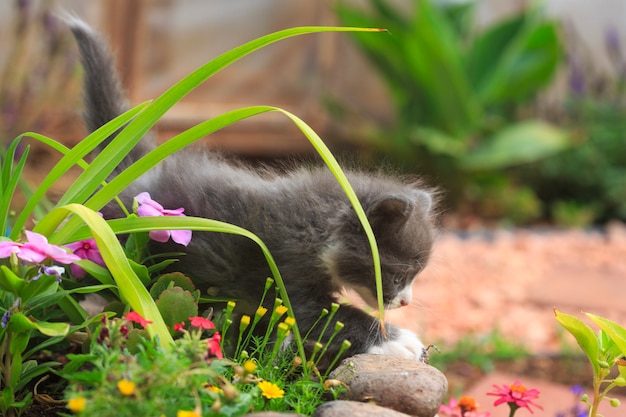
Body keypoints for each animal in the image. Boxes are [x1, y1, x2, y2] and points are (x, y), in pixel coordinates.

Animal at [67, 17, 434, 366]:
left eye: (416, 275)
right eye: (399, 274)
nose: (406, 301)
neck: (317, 226)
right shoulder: (285, 269)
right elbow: (328, 316)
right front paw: (400, 341)